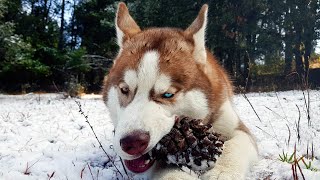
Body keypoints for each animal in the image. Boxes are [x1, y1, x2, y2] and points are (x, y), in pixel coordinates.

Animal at [102, 2, 258, 180]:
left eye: (168, 94)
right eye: (124, 89)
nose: (132, 142)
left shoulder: (236, 126)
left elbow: (236, 145)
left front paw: (222, 172)